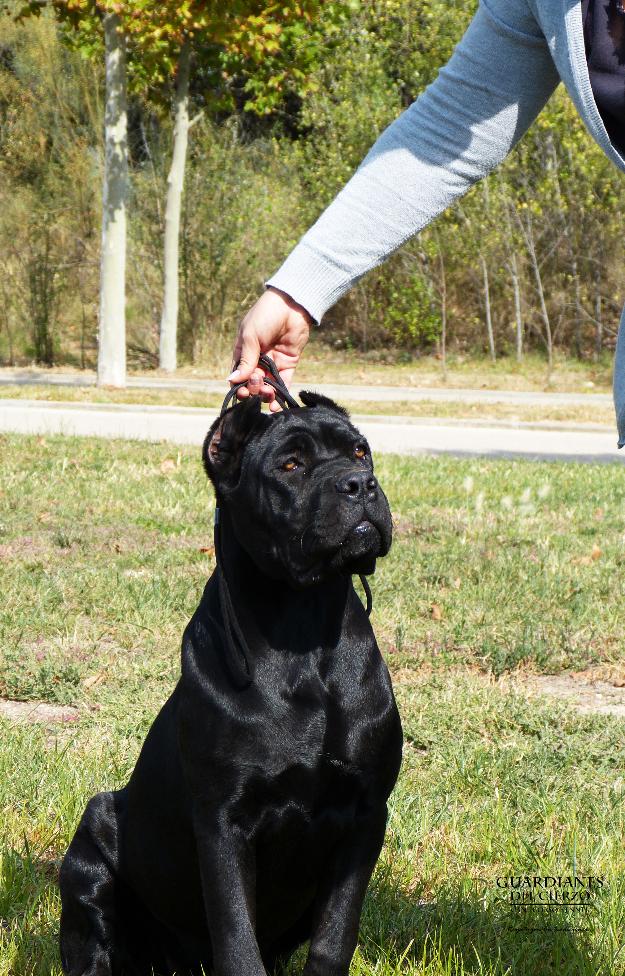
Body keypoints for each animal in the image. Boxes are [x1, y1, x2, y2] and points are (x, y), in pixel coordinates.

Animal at [61, 390, 402, 976]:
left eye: (360, 451)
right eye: (291, 465)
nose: (360, 484)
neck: (302, 633)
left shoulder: (364, 813)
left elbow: (334, 937)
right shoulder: (223, 821)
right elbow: (237, 940)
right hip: (90, 851)